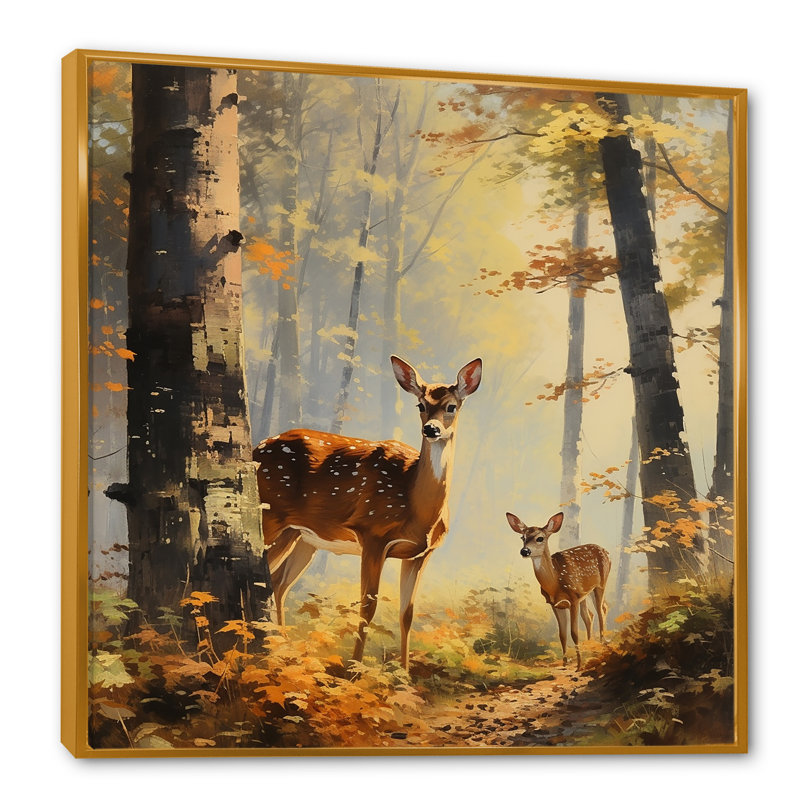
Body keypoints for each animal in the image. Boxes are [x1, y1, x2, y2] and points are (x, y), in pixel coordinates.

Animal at [254, 355, 482, 670]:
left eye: (451, 406)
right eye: (420, 405)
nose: (431, 429)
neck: (419, 509)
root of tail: (255, 448)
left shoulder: (421, 553)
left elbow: (407, 613)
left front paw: (405, 672)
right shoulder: (372, 534)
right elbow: (368, 606)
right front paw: (354, 667)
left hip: (301, 537)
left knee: (278, 584)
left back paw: (283, 647)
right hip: (270, 516)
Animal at [506, 511, 611, 669]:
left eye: (540, 538)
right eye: (522, 537)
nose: (525, 551)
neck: (555, 583)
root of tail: (606, 551)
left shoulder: (573, 599)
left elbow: (574, 632)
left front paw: (579, 665)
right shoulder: (555, 604)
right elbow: (562, 634)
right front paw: (565, 663)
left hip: (600, 584)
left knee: (600, 610)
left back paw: (601, 645)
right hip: (585, 593)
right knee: (591, 615)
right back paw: (590, 647)